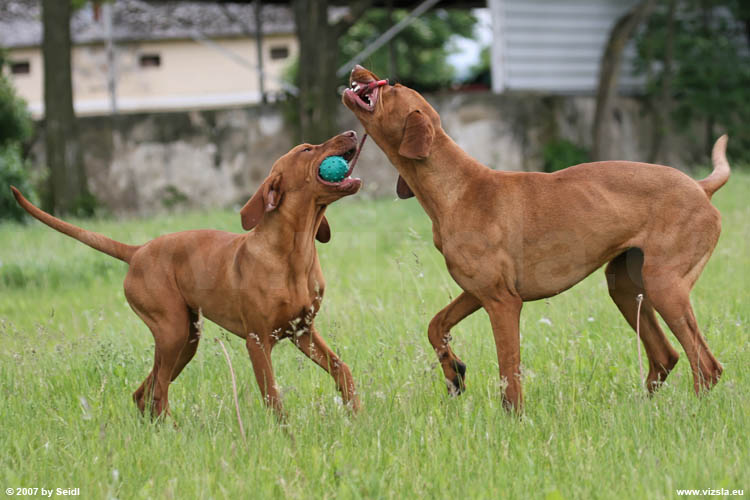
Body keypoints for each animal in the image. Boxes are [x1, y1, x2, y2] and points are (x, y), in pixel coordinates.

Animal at [10, 130, 366, 418]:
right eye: (306, 149)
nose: (351, 131)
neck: (294, 253)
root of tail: (138, 250)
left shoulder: (303, 331)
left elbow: (342, 368)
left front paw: (356, 413)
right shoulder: (257, 341)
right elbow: (273, 396)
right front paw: (284, 436)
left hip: (185, 339)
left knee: (145, 392)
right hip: (173, 331)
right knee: (159, 392)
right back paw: (173, 431)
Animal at [346, 65, 728, 410]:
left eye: (392, 86)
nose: (357, 68)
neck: (457, 188)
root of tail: (700, 186)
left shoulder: (503, 302)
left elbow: (508, 369)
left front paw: (512, 417)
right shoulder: (478, 292)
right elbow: (435, 325)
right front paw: (455, 372)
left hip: (665, 286)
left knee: (706, 365)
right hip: (625, 285)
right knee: (666, 355)